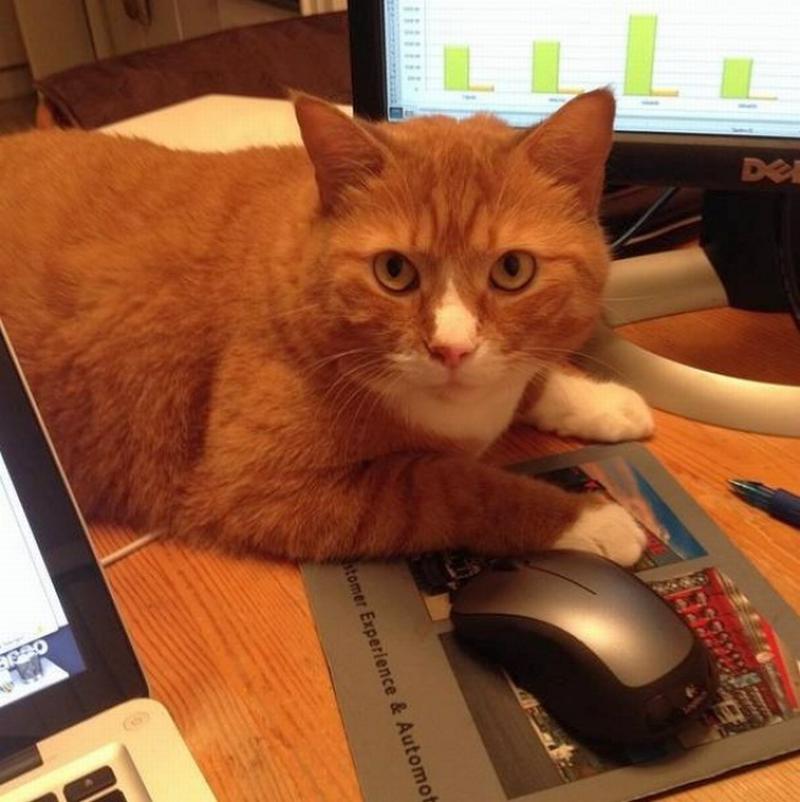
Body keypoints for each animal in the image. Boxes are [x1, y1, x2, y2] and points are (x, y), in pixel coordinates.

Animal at [0, 88, 653, 564]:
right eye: (394, 271)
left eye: (512, 270)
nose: (451, 349)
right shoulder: (262, 488)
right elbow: (456, 485)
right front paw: (589, 520)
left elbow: (533, 381)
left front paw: (603, 402)